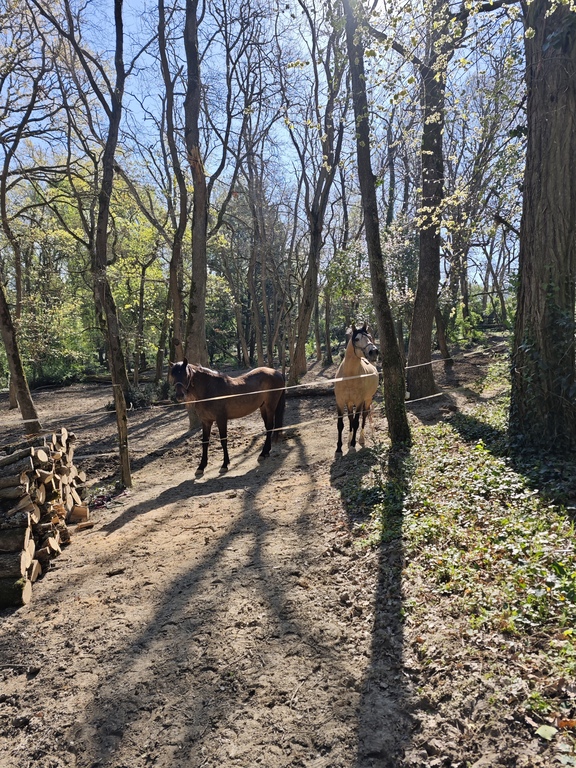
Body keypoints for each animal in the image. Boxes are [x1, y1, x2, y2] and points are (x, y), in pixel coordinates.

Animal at [334, 323, 380, 454]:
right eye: (357, 339)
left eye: (369, 337)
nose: (374, 352)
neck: (349, 376)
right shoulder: (340, 401)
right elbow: (341, 424)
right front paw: (339, 447)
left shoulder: (359, 401)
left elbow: (356, 422)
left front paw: (353, 445)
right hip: (349, 402)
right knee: (350, 417)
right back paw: (349, 440)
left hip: (368, 399)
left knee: (364, 416)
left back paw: (361, 439)